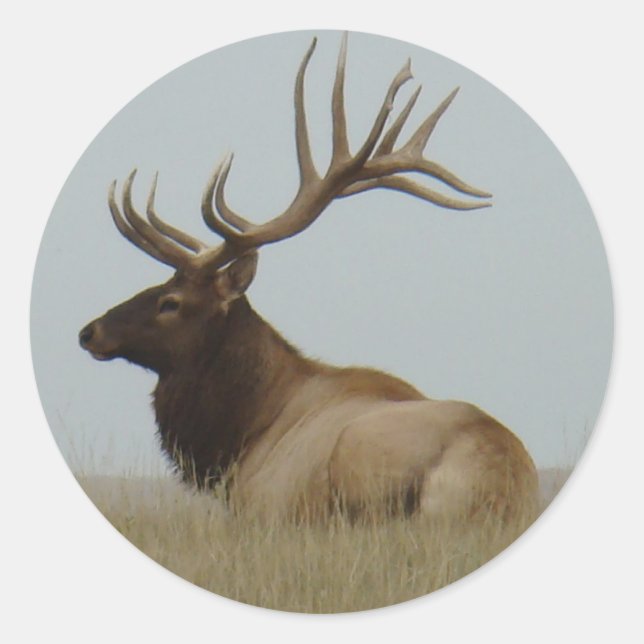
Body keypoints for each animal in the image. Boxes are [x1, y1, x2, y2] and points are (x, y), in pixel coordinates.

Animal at [79, 34, 539, 525]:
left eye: (171, 301)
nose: (90, 331)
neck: (242, 436)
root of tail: (499, 479)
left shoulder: (261, 509)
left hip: (359, 458)